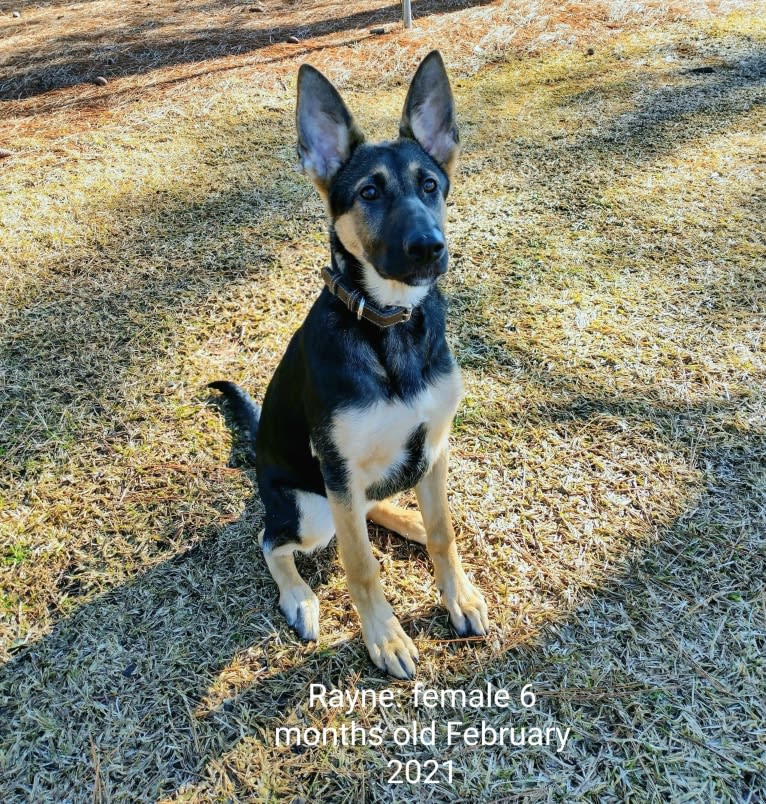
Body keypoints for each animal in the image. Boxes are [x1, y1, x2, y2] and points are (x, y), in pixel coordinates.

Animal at [212, 51, 486, 680]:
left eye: (430, 185)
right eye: (368, 192)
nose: (429, 247)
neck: (388, 325)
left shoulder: (435, 445)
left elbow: (443, 533)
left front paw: (456, 594)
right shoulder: (336, 469)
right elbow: (362, 567)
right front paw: (384, 637)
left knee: (372, 510)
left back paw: (407, 522)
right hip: (310, 506)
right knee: (274, 540)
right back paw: (300, 597)